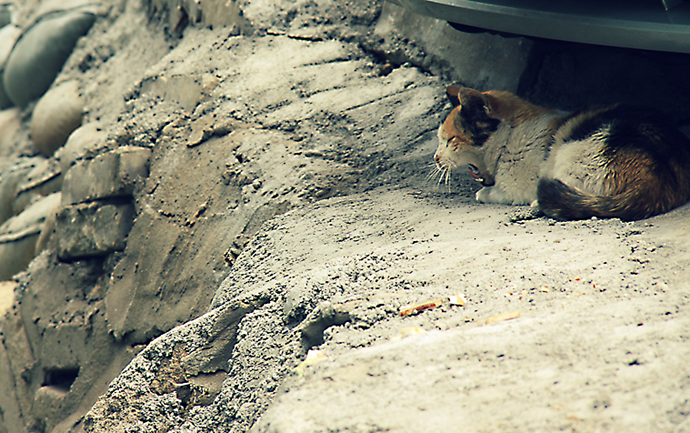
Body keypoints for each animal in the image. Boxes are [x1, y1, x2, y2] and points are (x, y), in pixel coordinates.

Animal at [432, 85, 688, 219]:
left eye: (449, 140)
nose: (435, 158)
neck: (508, 139)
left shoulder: (518, 186)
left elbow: (496, 192)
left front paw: (484, 193)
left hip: (572, 150)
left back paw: (539, 203)